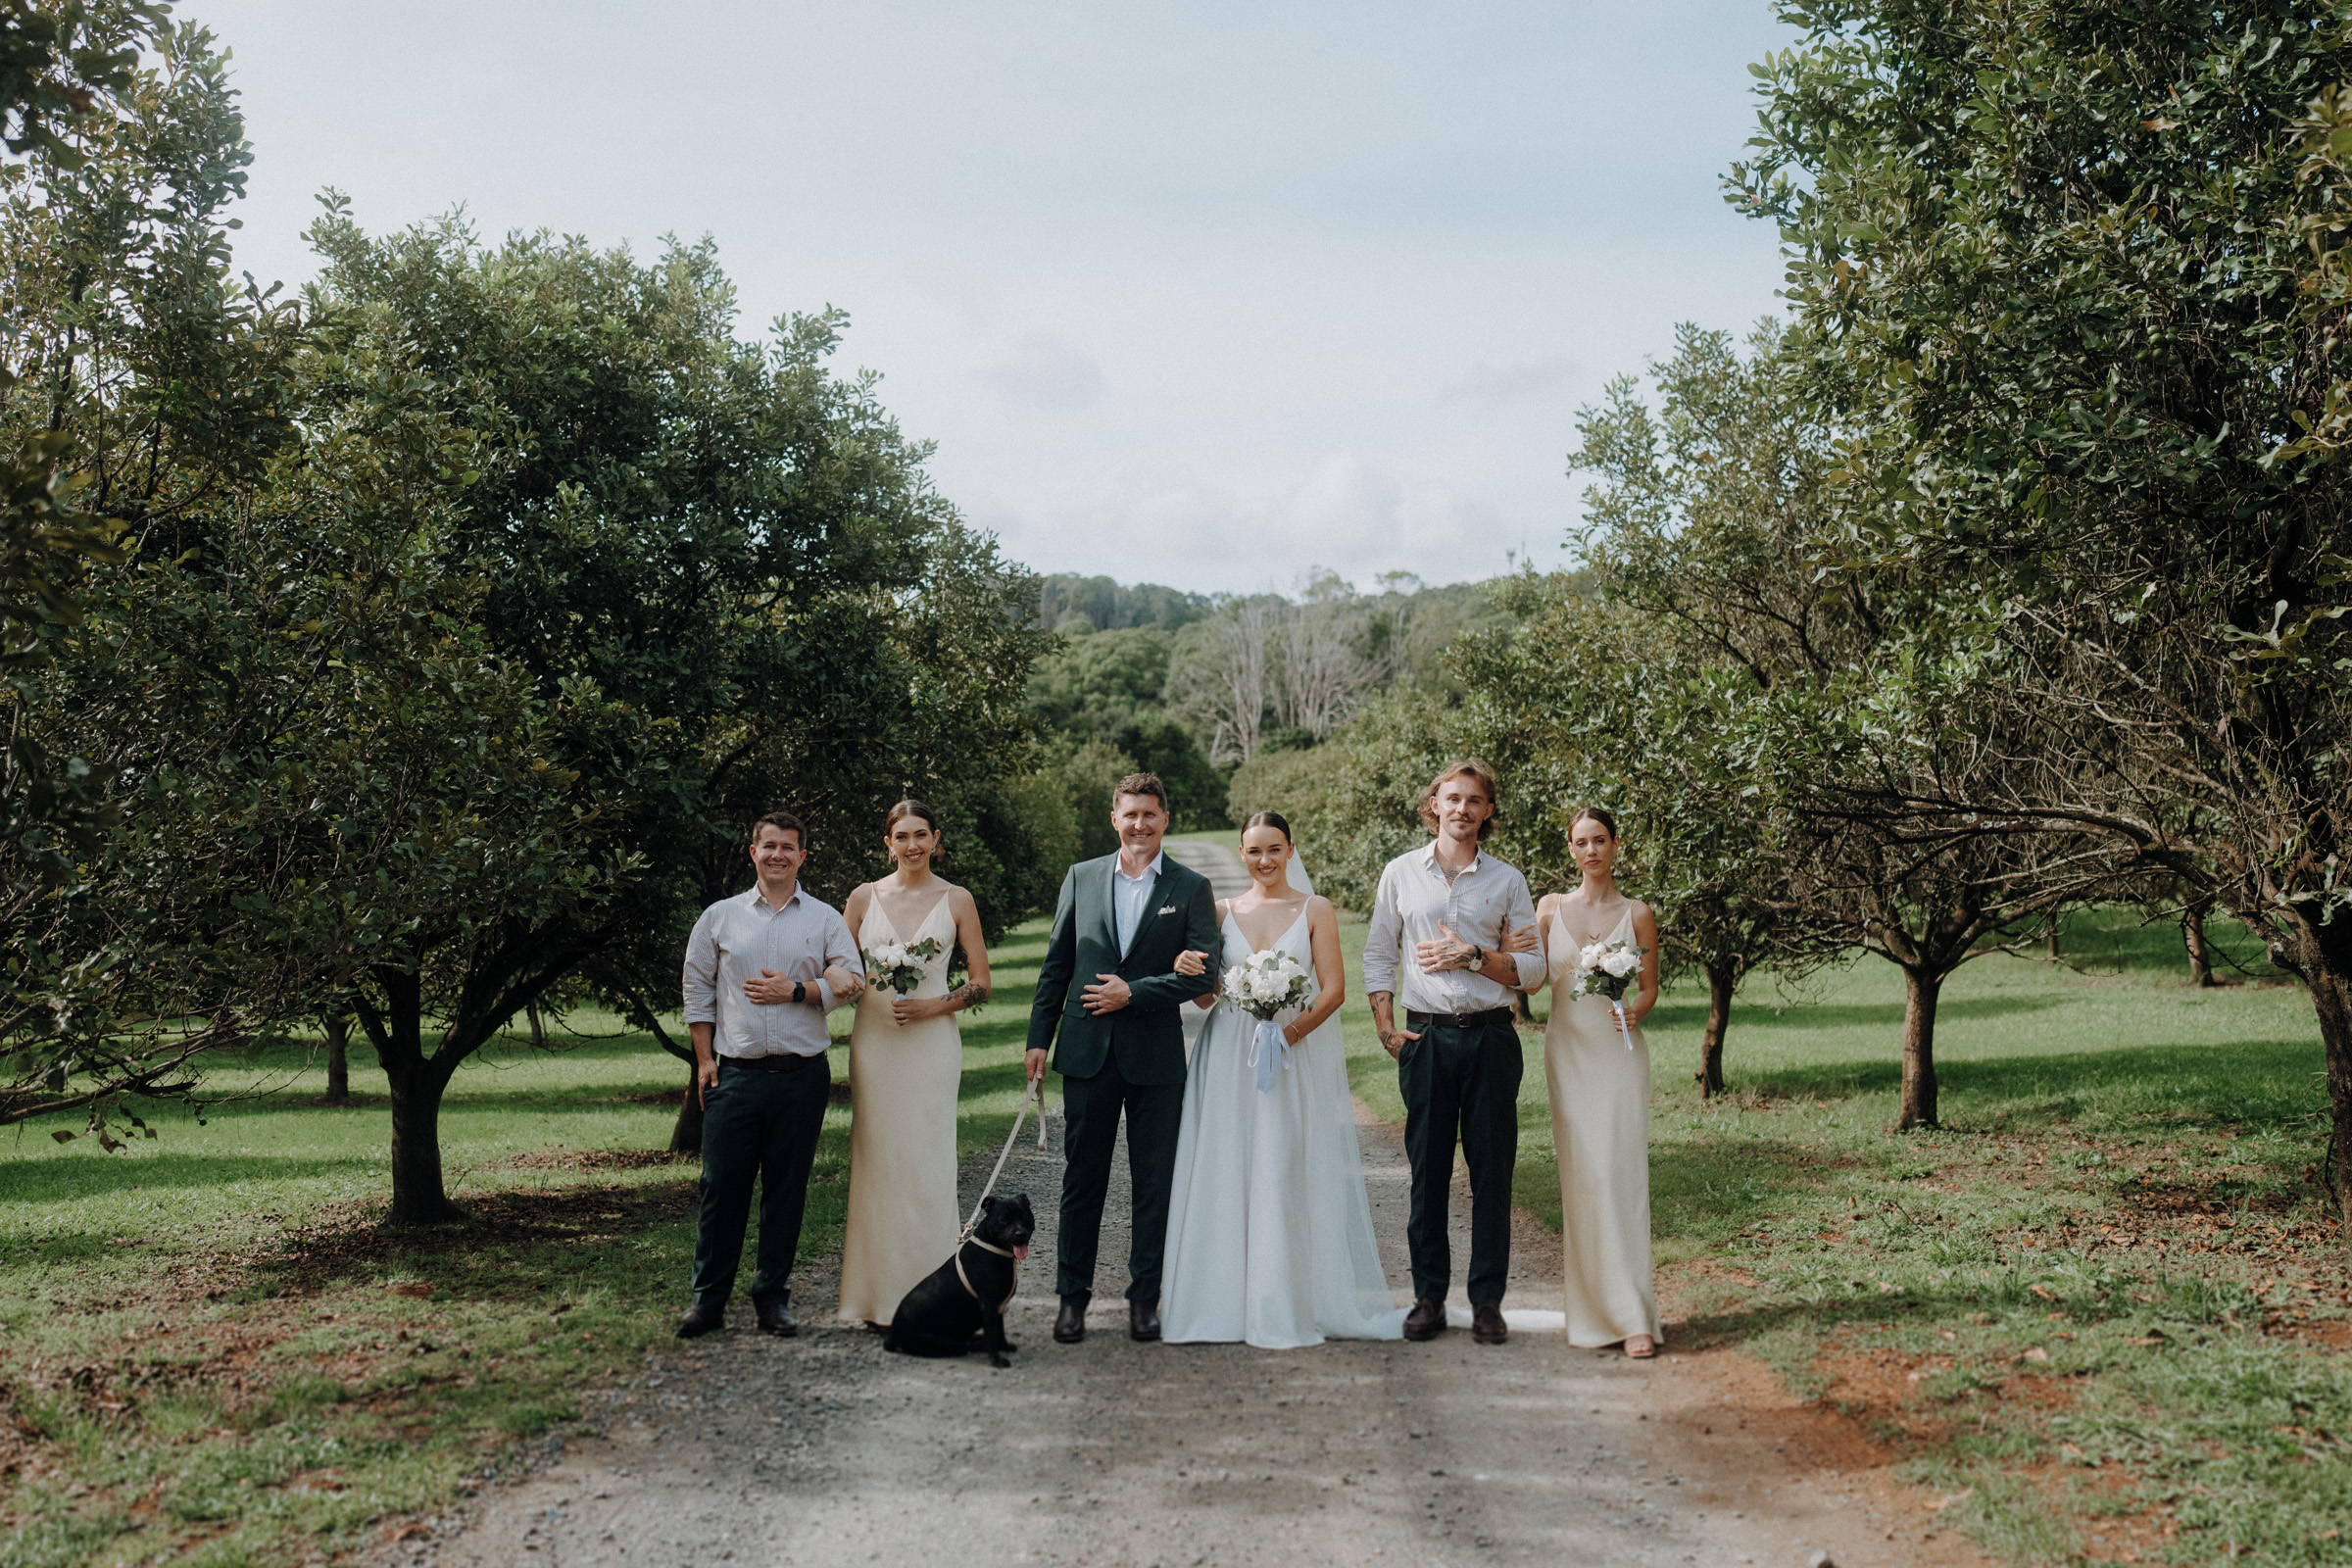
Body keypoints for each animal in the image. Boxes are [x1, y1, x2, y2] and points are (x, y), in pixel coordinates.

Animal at [879, 1194, 1035, 1363]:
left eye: (1025, 1216)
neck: (994, 1250)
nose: (1020, 1234)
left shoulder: (998, 1306)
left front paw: (1004, 1346)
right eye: (1003, 1220)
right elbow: (992, 1335)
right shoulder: (989, 1305)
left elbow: (999, 1330)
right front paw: (997, 1361)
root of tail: (893, 1334)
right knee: (965, 1345)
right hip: (941, 1343)